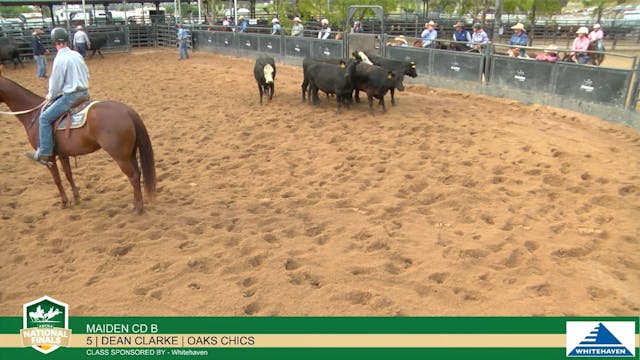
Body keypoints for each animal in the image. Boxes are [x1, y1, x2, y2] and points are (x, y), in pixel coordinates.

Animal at [0, 68, 156, 214]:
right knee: (138, 174)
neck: (34, 115)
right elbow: (68, 174)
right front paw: (76, 198)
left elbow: (57, 179)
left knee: (133, 177)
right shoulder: (63, 154)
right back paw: (136, 205)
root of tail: (128, 111)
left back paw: (138, 208)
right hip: (130, 154)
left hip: (121, 157)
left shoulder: (49, 157)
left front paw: (64, 202)